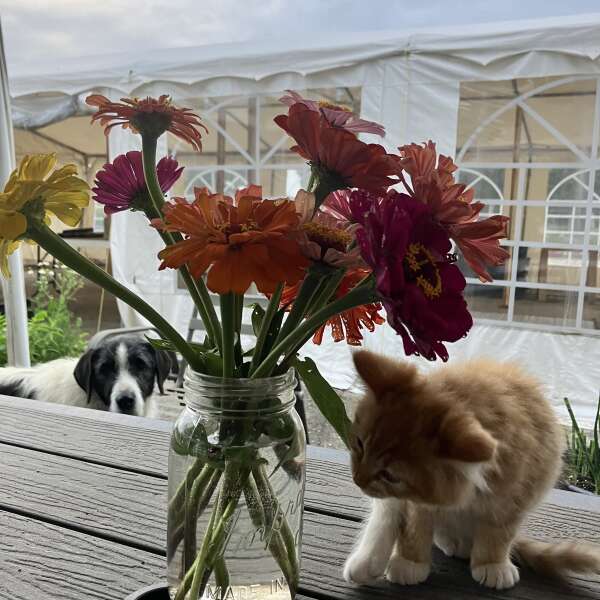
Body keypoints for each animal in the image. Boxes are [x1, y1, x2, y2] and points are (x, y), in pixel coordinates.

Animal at [342, 350, 600, 588]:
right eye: (360, 445)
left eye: (390, 475)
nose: (357, 479)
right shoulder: (416, 501)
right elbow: (413, 527)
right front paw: (410, 562)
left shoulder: (515, 493)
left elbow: (499, 533)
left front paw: (492, 563)